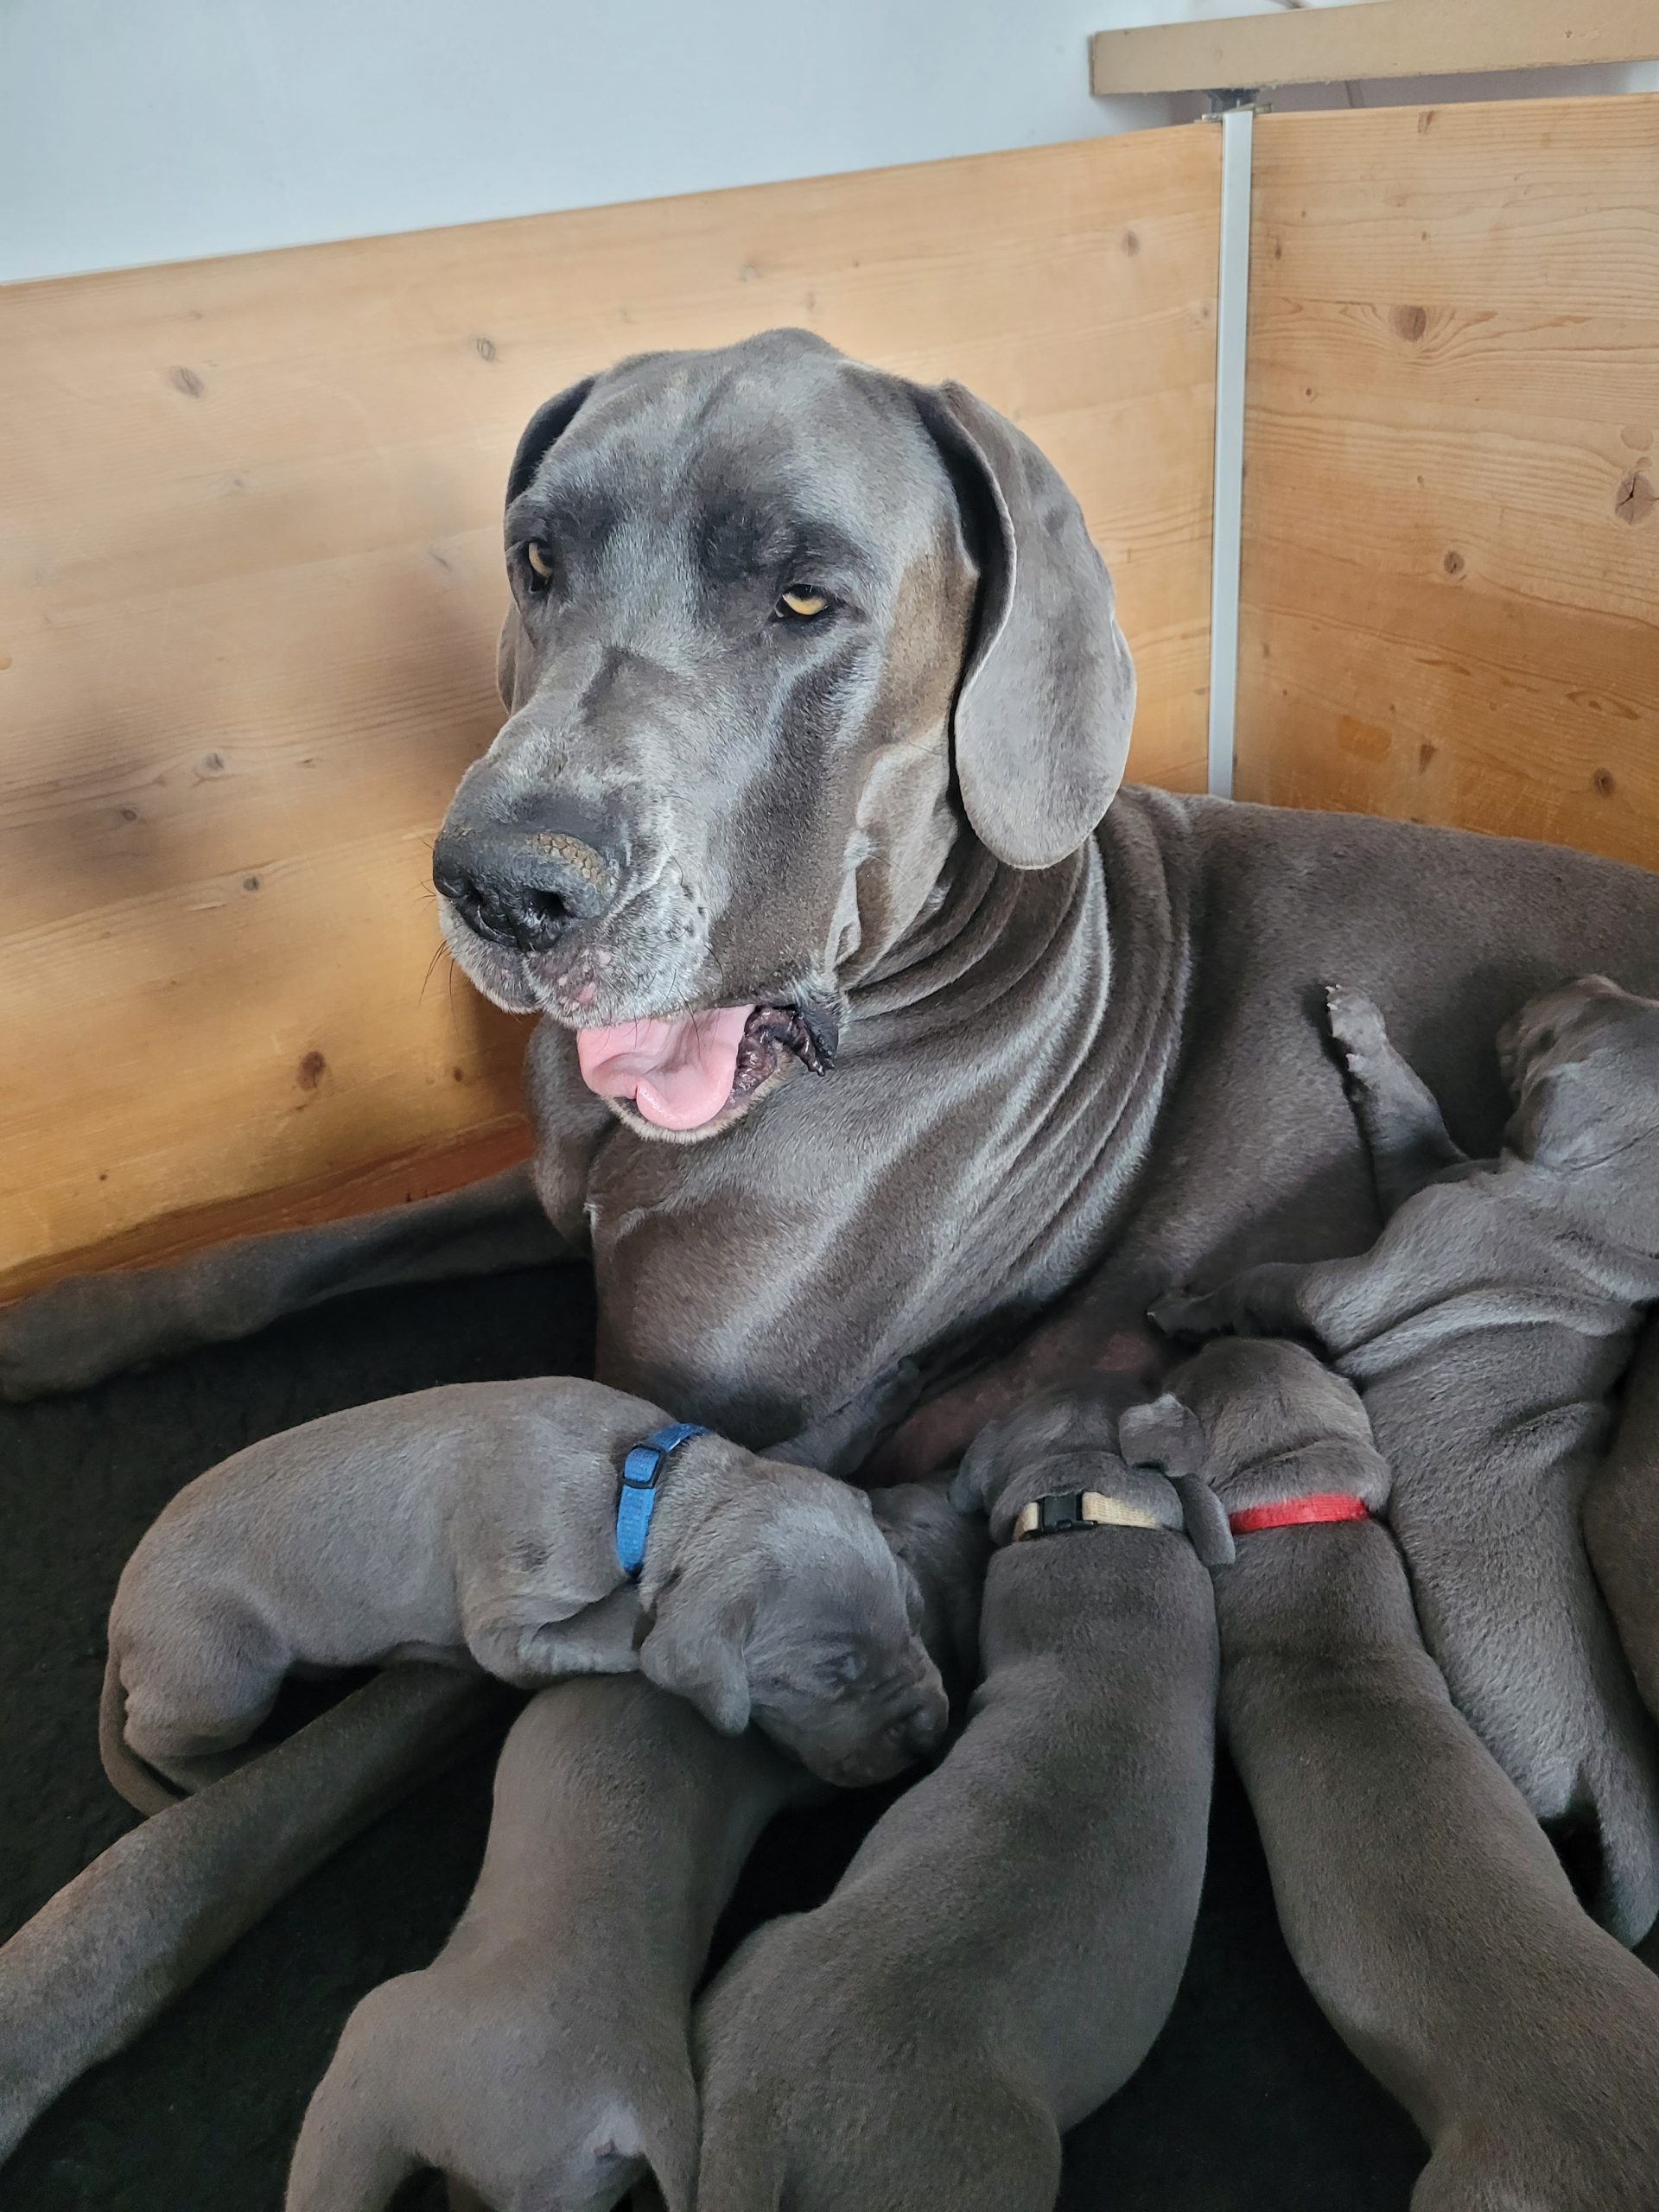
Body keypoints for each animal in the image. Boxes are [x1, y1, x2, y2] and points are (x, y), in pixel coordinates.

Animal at [103, 1375, 947, 1800]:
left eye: (914, 1618)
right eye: (830, 1677)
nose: (933, 1733)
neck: (645, 1483)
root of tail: (120, 1618)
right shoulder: (510, 1614)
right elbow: (615, 1631)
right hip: (222, 1670)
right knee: (156, 1735)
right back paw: (221, 1771)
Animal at [1152, 981, 1659, 1943]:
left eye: (1563, 1029)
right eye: (1619, 995)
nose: (1550, 988)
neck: (1594, 1209)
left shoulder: (1350, 1285)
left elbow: (1268, 1280)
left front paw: (1187, 1304)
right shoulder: (1434, 1174)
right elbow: (1412, 1116)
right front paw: (1360, 1030)